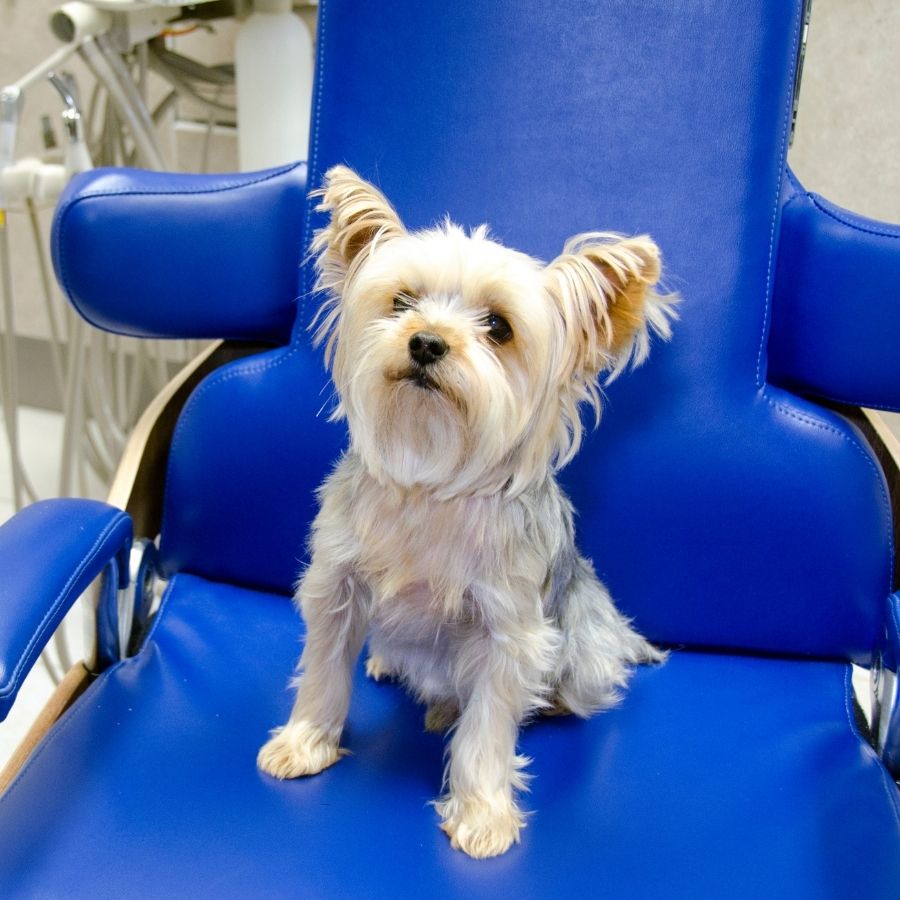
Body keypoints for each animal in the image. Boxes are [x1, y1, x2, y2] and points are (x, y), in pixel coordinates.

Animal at [258, 165, 676, 860]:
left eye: (499, 327)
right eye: (401, 301)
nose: (426, 341)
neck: (431, 481)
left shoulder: (508, 630)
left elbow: (489, 728)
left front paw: (482, 814)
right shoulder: (337, 586)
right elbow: (322, 672)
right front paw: (305, 741)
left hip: (584, 649)